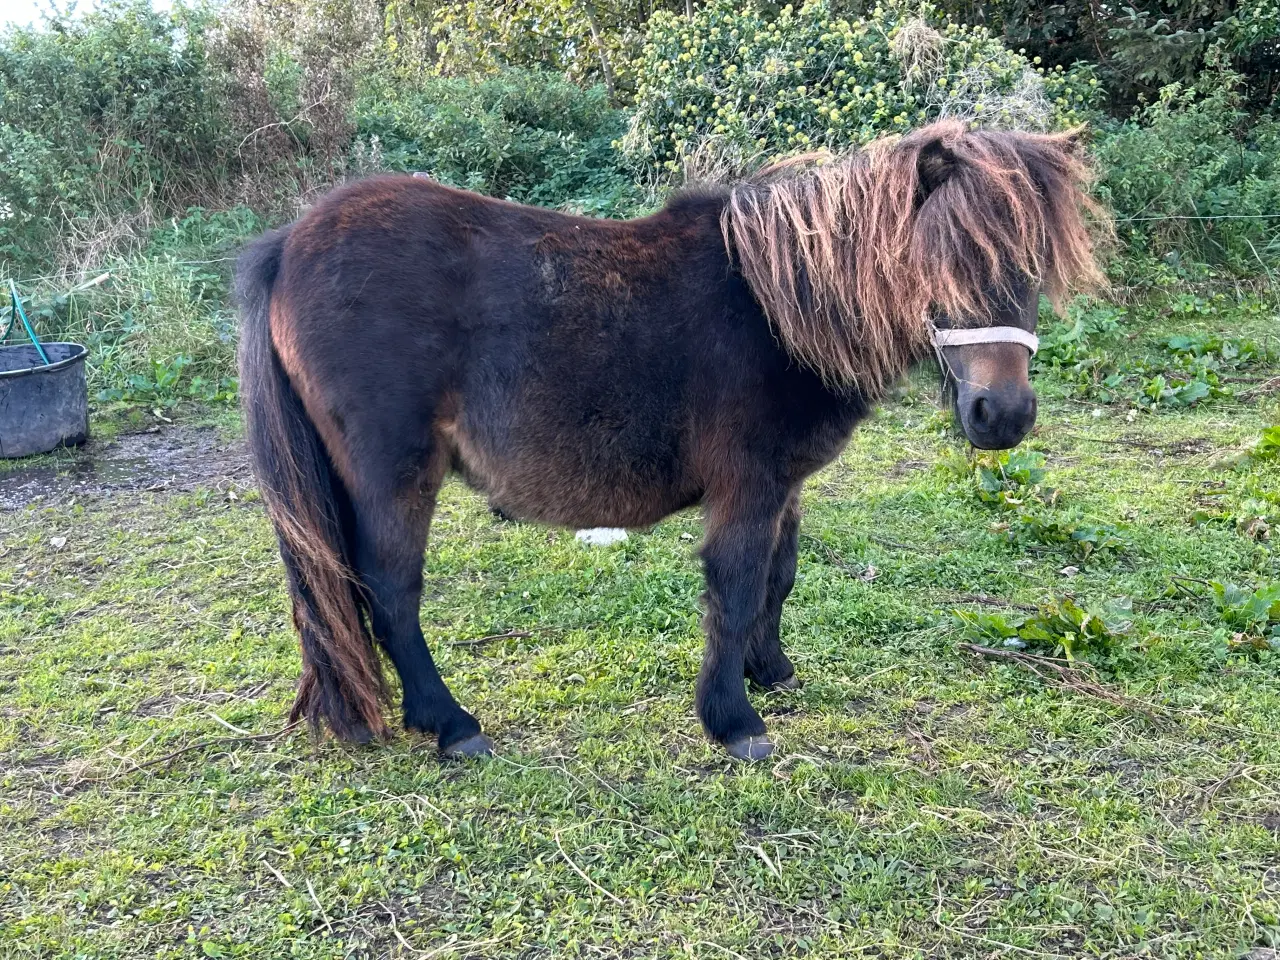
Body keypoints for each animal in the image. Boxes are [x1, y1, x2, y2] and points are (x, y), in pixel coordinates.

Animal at [240, 120, 1111, 762]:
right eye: (943, 257)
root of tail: (288, 244)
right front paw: (734, 720)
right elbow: (734, 586)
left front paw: (771, 671)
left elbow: (779, 579)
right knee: (389, 590)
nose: (1004, 416)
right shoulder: (748, 488)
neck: (777, 309)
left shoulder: (786, 487)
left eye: (1035, 263)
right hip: (393, 472)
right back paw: (451, 724)